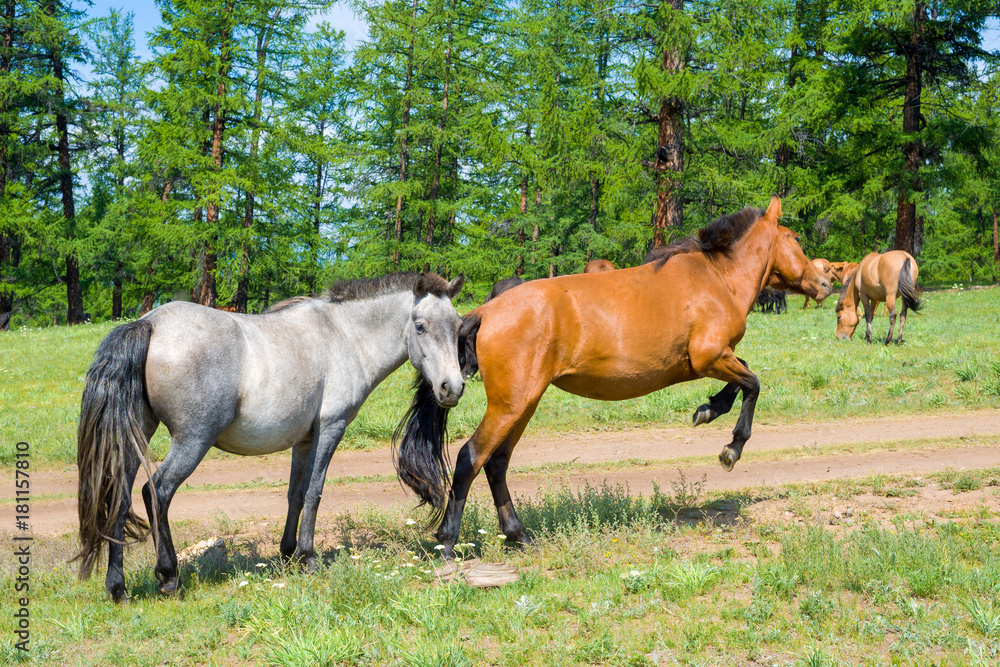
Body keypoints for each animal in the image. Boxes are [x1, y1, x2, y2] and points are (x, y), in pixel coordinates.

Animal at [75, 272, 466, 602]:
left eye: (458, 326)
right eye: (420, 326)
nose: (453, 388)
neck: (344, 336)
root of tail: (148, 323)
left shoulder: (304, 440)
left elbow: (295, 494)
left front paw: (288, 552)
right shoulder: (331, 428)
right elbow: (314, 492)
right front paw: (308, 558)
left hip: (136, 436)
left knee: (121, 498)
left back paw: (118, 587)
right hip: (192, 441)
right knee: (156, 492)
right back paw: (169, 576)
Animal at [394, 197, 831, 558]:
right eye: (795, 238)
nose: (825, 282)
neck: (715, 278)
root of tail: (485, 312)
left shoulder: (714, 358)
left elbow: (741, 379)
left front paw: (709, 409)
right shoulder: (709, 356)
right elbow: (753, 383)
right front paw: (731, 448)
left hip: (523, 403)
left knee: (497, 463)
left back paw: (519, 536)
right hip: (510, 405)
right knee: (470, 458)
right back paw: (448, 542)